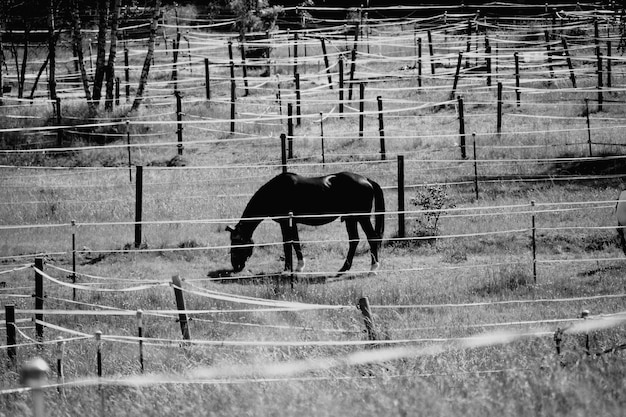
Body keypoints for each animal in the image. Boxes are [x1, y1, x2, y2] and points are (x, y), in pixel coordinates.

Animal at [224, 171, 380, 274]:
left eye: (236, 244)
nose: (235, 266)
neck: (275, 192)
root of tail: (366, 179)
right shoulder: (291, 223)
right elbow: (295, 242)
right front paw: (299, 266)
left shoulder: (285, 223)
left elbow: (287, 244)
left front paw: (287, 269)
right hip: (351, 219)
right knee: (354, 240)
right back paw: (344, 268)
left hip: (362, 217)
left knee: (371, 237)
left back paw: (373, 268)